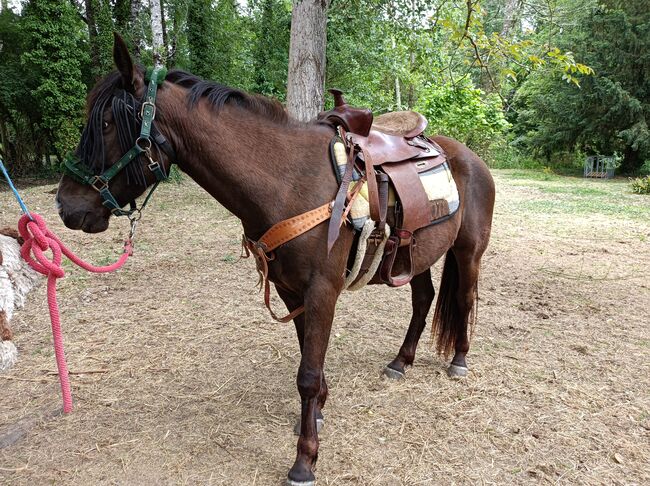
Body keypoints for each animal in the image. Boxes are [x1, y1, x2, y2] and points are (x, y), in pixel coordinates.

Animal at [55, 36, 494, 484]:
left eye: (106, 124)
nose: (66, 206)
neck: (287, 182)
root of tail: (468, 156)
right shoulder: (290, 291)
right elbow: (307, 357)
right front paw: (315, 414)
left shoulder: (321, 292)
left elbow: (307, 373)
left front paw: (305, 459)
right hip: (414, 255)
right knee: (423, 300)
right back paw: (400, 362)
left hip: (468, 252)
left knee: (464, 298)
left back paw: (459, 360)